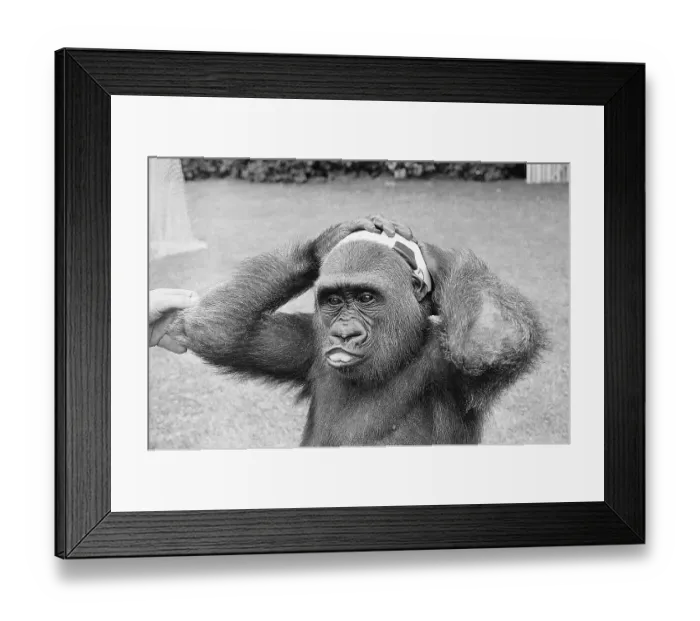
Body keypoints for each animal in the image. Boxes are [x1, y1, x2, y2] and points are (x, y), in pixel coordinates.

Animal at [166, 215, 547, 446]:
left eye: (365, 297)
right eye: (334, 300)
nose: (345, 333)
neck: (401, 354)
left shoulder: (450, 368)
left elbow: (489, 341)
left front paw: (432, 256)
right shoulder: (309, 341)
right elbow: (217, 330)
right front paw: (325, 242)